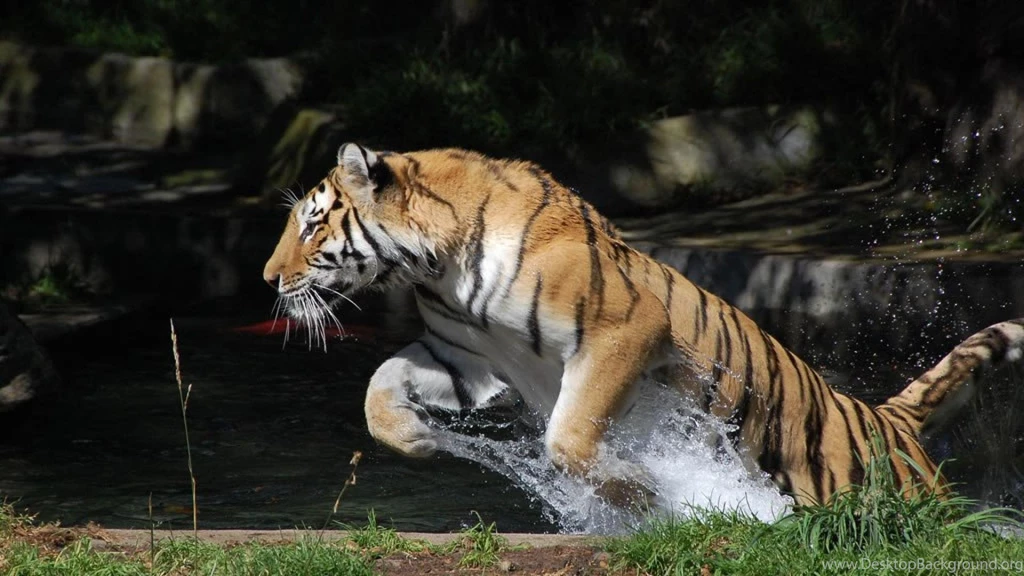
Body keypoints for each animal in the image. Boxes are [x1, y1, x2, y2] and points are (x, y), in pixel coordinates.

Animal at [262, 142, 1024, 508]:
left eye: (313, 223)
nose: (269, 279)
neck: (437, 267)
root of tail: (890, 418)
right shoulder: (465, 355)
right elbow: (377, 385)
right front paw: (416, 438)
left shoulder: (623, 330)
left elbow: (568, 439)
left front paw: (644, 493)